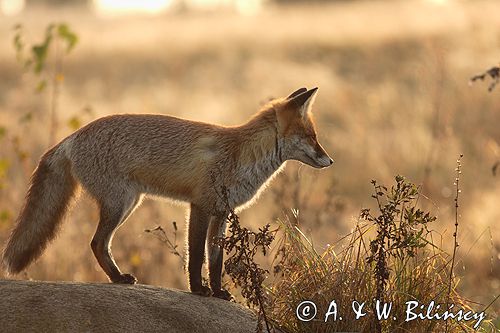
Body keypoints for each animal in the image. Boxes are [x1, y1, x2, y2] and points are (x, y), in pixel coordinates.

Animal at [3, 87, 334, 298]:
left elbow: (215, 260)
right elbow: (196, 256)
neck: (241, 156)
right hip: (120, 204)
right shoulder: (199, 206)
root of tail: (72, 135)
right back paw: (118, 279)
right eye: (311, 137)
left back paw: (117, 278)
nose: (330, 161)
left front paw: (217, 292)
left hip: (129, 203)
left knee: (99, 243)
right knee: (97, 243)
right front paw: (198, 290)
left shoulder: (222, 213)